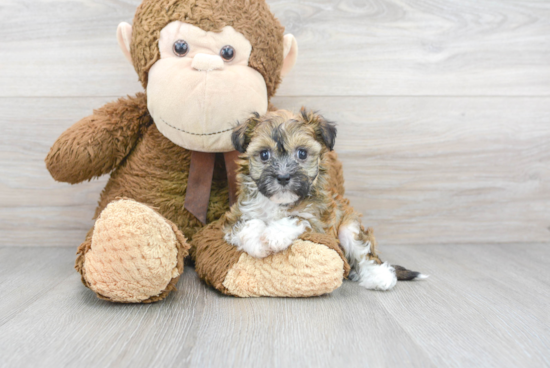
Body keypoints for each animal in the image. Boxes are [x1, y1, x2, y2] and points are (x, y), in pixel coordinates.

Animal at [222, 108, 424, 290]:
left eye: (302, 153)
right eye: (264, 154)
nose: (283, 177)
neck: (280, 202)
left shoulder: (319, 223)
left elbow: (297, 217)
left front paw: (273, 235)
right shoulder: (236, 214)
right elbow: (247, 224)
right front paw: (258, 244)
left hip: (348, 227)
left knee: (364, 253)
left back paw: (380, 277)